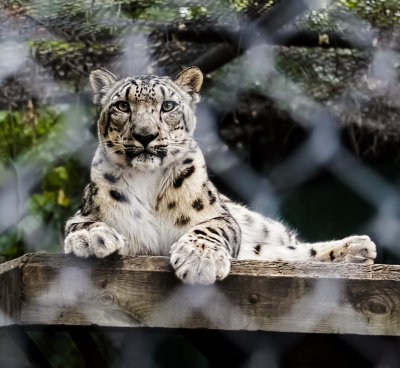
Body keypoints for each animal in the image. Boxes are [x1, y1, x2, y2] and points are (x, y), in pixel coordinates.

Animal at [64, 66, 376, 284]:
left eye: (168, 106)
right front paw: (92, 238)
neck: (148, 181)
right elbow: (78, 224)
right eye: (122, 106)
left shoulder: (221, 216)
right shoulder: (84, 212)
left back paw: (358, 248)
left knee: (291, 249)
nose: (145, 135)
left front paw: (200, 260)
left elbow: (209, 228)